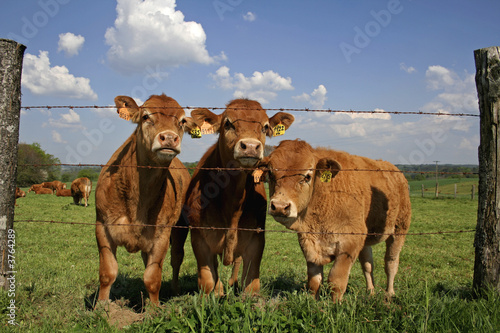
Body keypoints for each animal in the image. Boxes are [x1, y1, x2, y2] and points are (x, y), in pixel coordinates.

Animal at [94, 92, 196, 304]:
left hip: (180, 227)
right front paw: (102, 305)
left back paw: (174, 289)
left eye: (182, 121)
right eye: (145, 116)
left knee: (176, 258)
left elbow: (152, 276)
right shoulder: (102, 227)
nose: (169, 138)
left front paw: (154, 308)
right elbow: (107, 272)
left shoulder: (161, 235)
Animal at [184, 98, 292, 294]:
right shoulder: (199, 239)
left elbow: (251, 282)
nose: (250, 146)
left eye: (265, 127)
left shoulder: (256, 239)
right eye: (228, 123)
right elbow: (208, 280)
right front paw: (216, 292)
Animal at [258, 140, 410, 300]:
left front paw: (336, 304)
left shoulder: (349, 242)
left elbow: (336, 279)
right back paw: (370, 291)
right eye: (270, 173)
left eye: (307, 176)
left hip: (400, 229)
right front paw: (313, 301)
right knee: (368, 264)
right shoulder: (309, 243)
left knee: (391, 262)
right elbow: (314, 280)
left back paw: (390, 293)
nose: (280, 206)